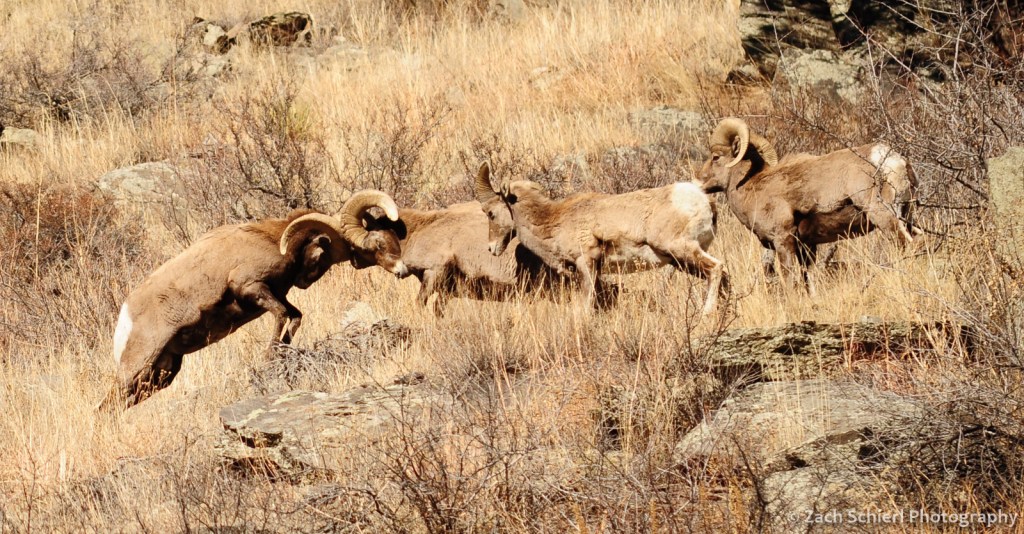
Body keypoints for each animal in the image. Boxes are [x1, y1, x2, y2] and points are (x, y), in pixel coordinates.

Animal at [100, 190, 407, 410]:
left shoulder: (275, 295)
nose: (401, 270)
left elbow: (295, 317)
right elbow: (281, 315)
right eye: (371, 245)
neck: (272, 241)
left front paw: (283, 351)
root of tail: (125, 316)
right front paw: (270, 355)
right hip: (139, 365)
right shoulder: (252, 288)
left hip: (162, 373)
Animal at [476, 163, 728, 315]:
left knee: (716, 268)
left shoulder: (586, 263)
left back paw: (706, 314)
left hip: (683, 251)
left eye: (490, 213)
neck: (554, 219)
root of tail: (704, 201)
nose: (491, 248)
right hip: (683, 261)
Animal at [697, 117, 921, 291]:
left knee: (906, 244)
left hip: (883, 216)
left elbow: (789, 279)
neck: (753, 188)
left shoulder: (783, 240)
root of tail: (892, 161)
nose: (699, 181)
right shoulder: (807, 246)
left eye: (716, 157)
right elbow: (807, 280)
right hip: (908, 214)